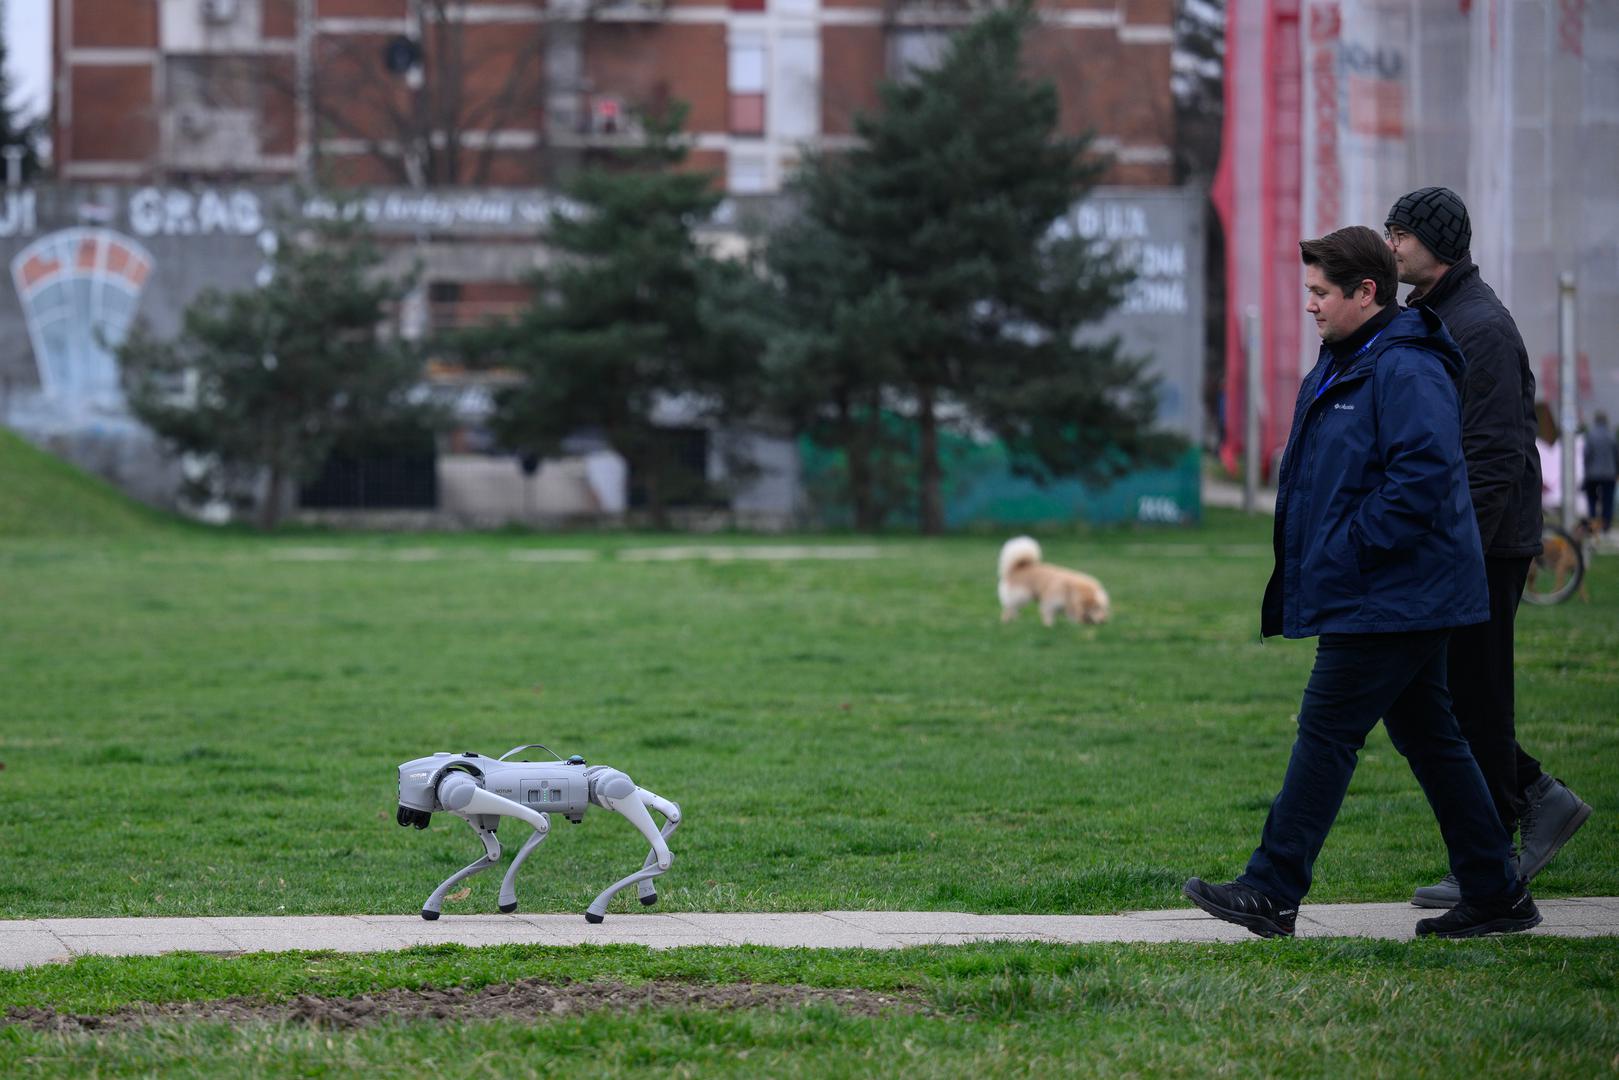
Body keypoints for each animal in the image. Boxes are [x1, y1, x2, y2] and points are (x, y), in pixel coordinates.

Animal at [395, 748, 679, 926]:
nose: (405, 816)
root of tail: (589, 773)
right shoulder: (479, 814)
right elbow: (494, 853)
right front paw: (432, 907)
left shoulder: (462, 793)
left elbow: (541, 823)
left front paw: (507, 900)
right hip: (600, 785)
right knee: (672, 813)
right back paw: (646, 892)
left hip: (608, 787)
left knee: (662, 850)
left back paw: (597, 909)